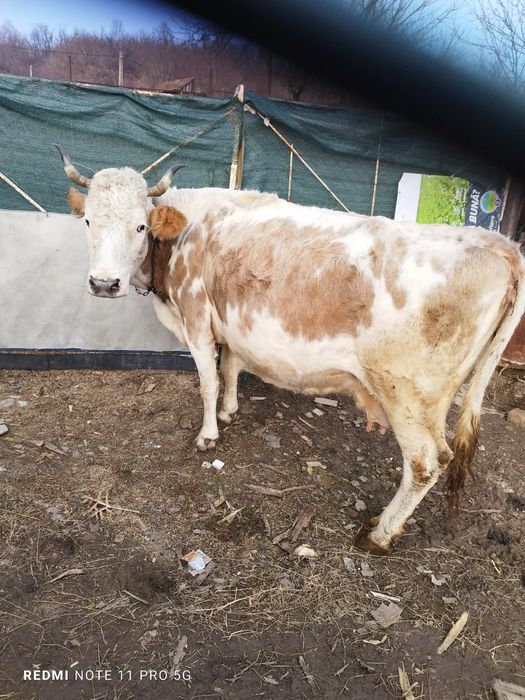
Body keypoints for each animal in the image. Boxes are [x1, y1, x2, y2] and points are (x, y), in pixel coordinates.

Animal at [57, 147, 525, 555]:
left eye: (140, 226)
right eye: (87, 222)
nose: (103, 284)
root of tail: (497, 243)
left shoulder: (196, 318)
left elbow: (208, 380)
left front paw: (209, 433)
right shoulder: (231, 321)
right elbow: (231, 368)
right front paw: (230, 411)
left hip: (406, 393)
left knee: (427, 462)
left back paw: (380, 533)